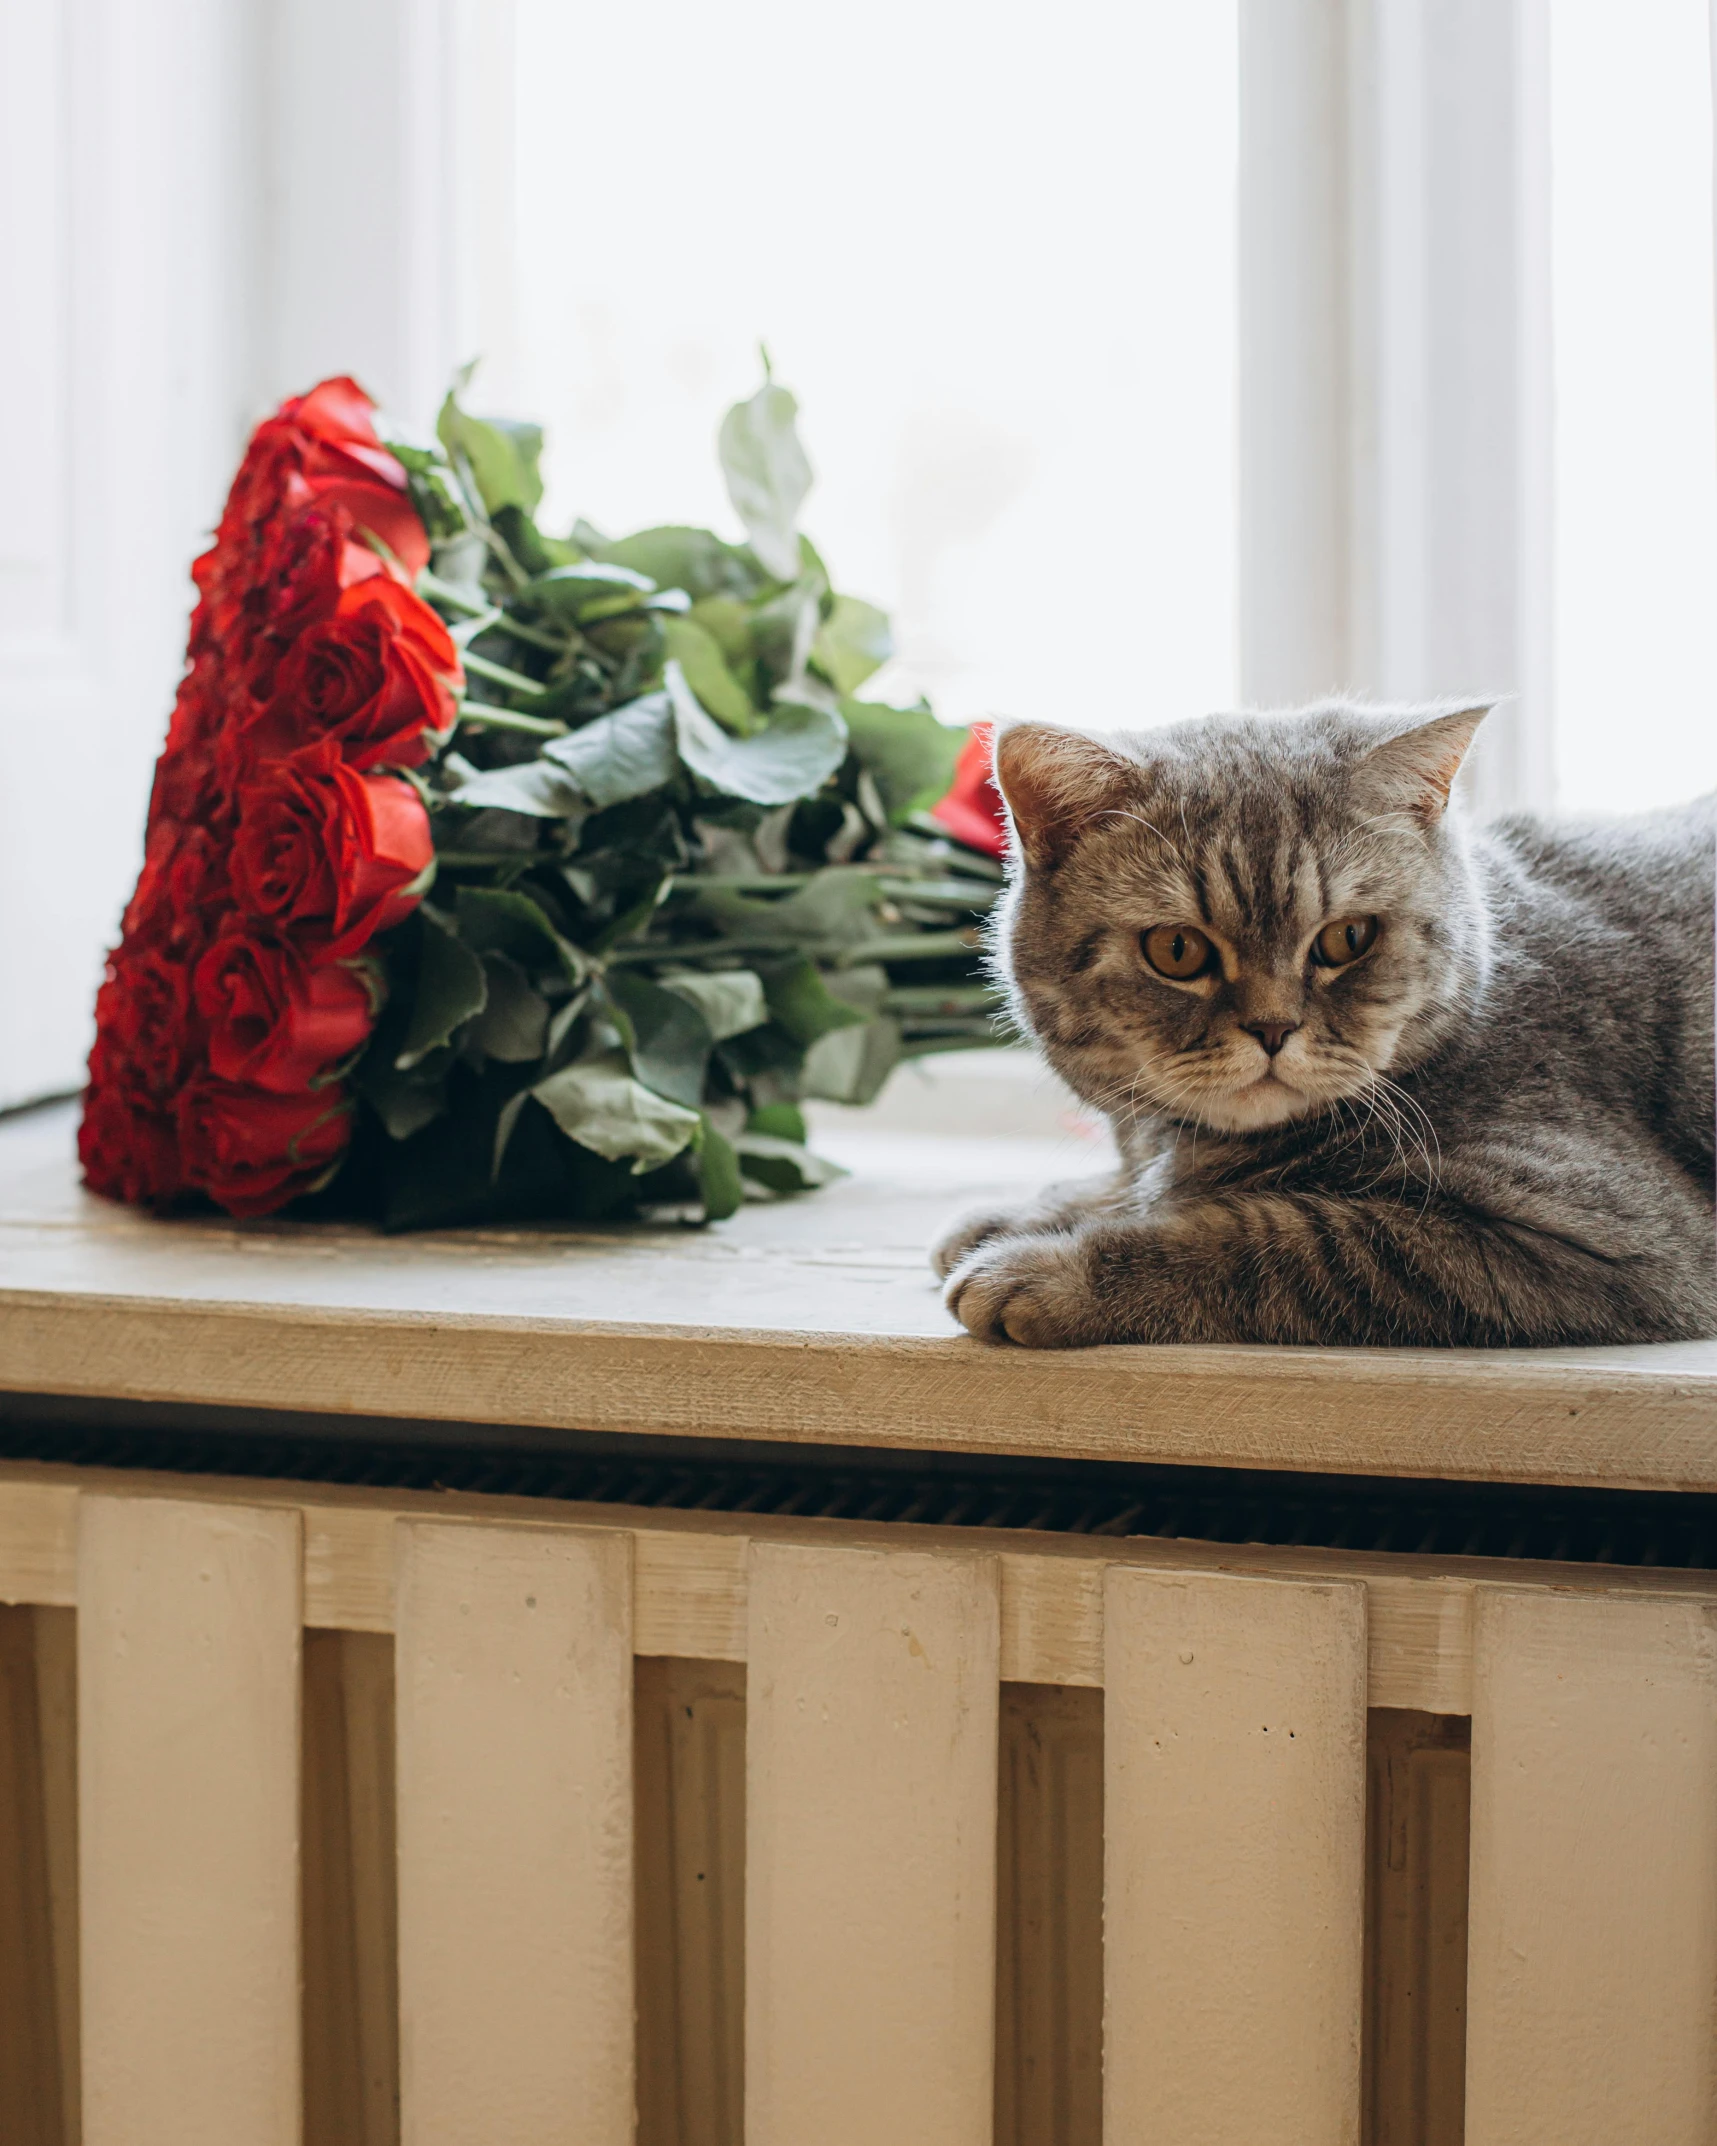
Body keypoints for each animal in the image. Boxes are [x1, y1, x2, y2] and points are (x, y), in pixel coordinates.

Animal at [940, 703, 1717, 1339]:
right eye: (1176, 950)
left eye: (1346, 938)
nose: (1272, 1028)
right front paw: (1038, 1209)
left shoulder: (1597, 1235)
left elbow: (1269, 1239)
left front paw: (1050, 1266)